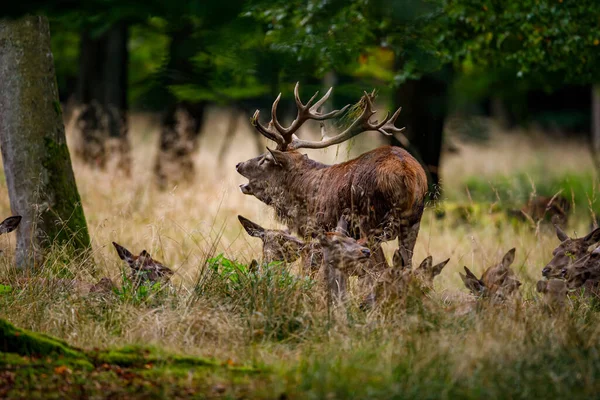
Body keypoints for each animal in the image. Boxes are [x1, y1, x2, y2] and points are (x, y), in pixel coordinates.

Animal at [234, 81, 426, 276]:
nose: (239, 164)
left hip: (370, 221)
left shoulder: (320, 229)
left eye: (266, 159)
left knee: (380, 268)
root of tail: (407, 173)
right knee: (407, 266)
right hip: (413, 221)